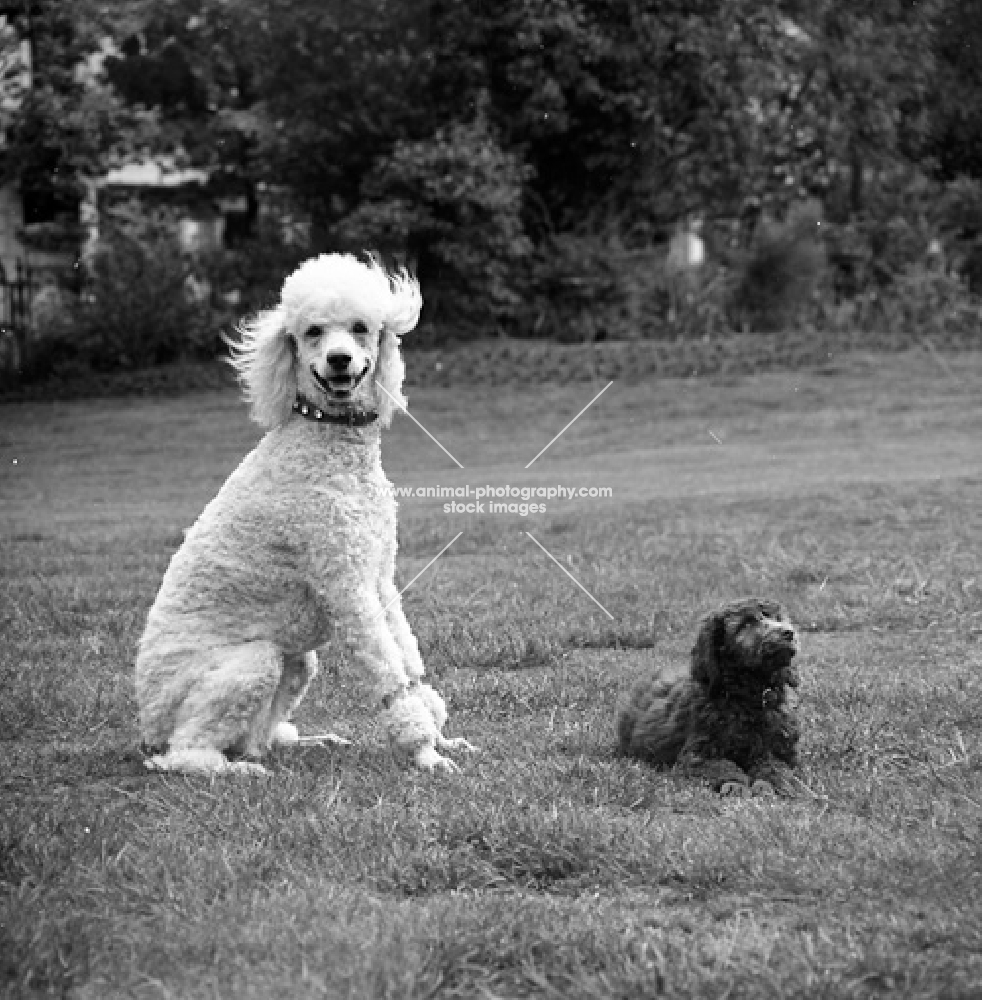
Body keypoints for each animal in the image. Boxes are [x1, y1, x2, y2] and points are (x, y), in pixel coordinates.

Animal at [620, 592, 804, 796]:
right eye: (746, 624)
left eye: (778, 618)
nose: (788, 633)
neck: (750, 697)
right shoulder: (697, 755)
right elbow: (722, 766)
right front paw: (734, 785)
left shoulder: (780, 753)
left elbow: (775, 766)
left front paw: (771, 783)